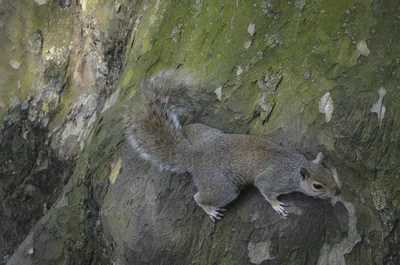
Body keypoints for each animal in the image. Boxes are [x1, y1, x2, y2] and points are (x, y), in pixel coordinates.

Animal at [125, 69, 340, 221]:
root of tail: (195, 155)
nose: (337, 192)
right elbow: (267, 192)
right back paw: (210, 210)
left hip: (205, 133)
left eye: (331, 173)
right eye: (317, 186)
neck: (294, 168)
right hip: (223, 188)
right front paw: (277, 205)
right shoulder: (272, 181)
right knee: (199, 197)